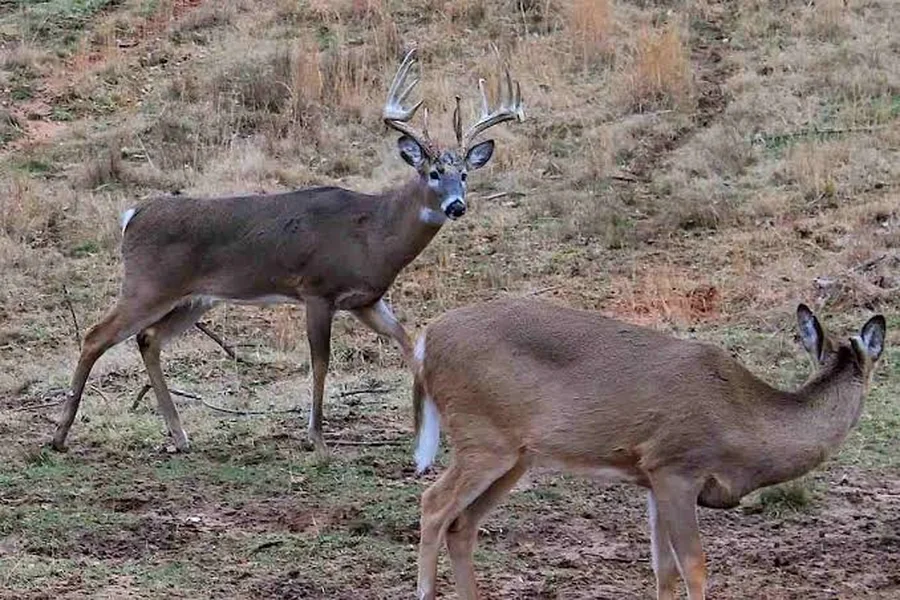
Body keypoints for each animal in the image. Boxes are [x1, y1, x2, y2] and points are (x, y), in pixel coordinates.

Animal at [50, 48, 524, 454]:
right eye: (433, 172)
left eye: (465, 175)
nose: (456, 206)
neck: (373, 233)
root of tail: (133, 214)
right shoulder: (316, 289)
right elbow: (320, 362)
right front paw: (316, 438)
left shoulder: (366, 300)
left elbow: (411, 346)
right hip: (148, 283)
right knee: (95, 336)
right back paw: (59, 435)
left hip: (194, 298)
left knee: (148, 339)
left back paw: (180, 436)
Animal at [410, 297, 887, 600]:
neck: (743, 423)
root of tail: (425, 342)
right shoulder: (676, 465)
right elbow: (693, 565)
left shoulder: (651, 477)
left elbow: (664, 569)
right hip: (483, 436)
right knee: (433, 504)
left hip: (515, 454)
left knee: (462, 525)